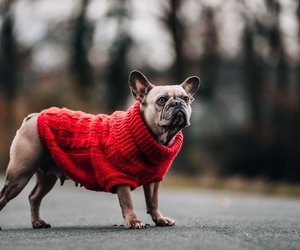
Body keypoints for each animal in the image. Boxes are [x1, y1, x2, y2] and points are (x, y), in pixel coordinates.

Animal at [0, 70, 202, 229]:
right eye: (162, 100)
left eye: (186, 99)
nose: (178, 104)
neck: (154, 136)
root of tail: (33, 116)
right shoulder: (120, 176)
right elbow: (127, 200)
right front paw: (134, 221)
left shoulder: (153, 181)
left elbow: (153, 201)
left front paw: (159, 219)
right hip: (19, 174)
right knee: (5, 196)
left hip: (47, 176)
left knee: (34, 197)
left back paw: (37, 222)